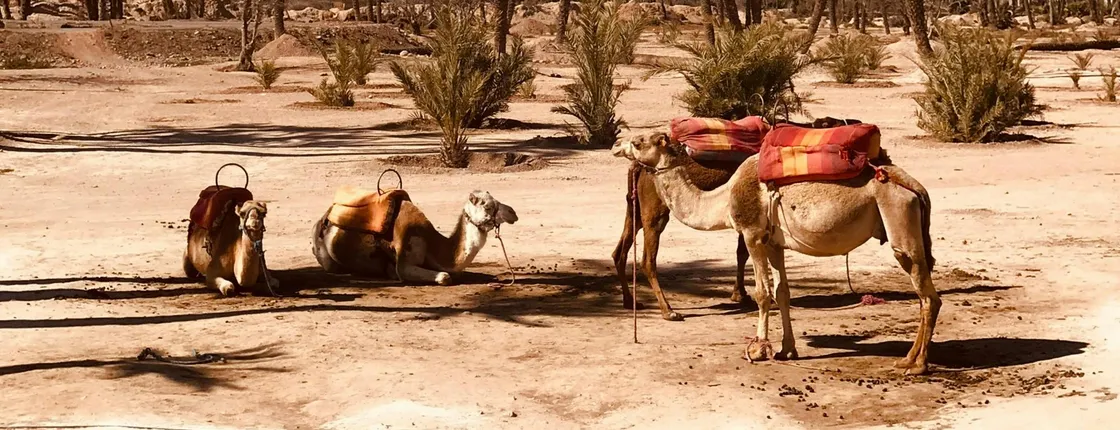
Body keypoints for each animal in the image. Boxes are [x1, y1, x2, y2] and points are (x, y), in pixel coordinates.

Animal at [611, 131, 940, 375]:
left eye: (639, 141)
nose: (616, 145)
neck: (723, 199)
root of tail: (915, 186)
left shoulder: (752, 234)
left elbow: (763, 292)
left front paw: (758, 348)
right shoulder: (774, 242)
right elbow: (783, 292)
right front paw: (786, 349)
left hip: (898, 218)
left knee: (927, 296)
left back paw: (916, 364)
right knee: (925, 294)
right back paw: (908, 358)